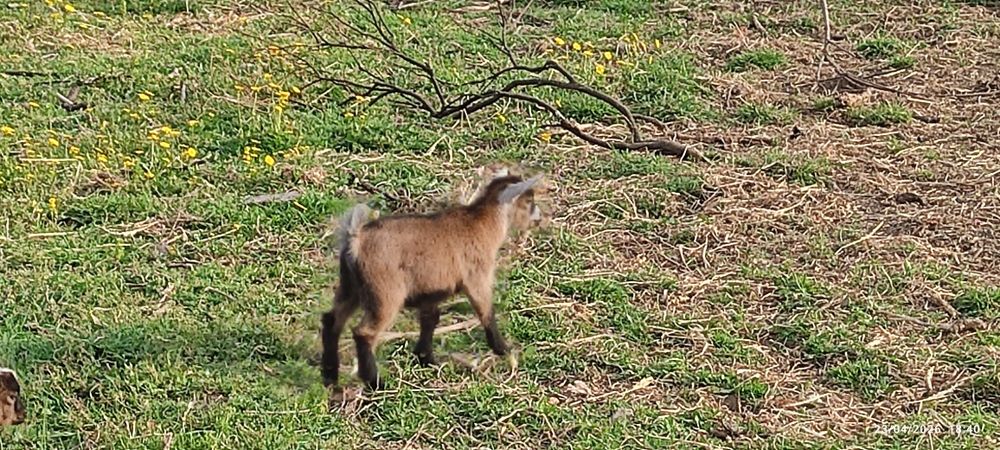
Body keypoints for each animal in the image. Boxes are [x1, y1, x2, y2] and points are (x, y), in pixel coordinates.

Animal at [320, 172, 543, 390]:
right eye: (528, 200)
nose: (539, 218)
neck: (483, 224)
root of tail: (356, 239)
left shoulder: (429, 290)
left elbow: (430, 319)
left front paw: (426, 358)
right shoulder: (477, 279)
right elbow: (486, 313)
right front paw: (504, 350)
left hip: (350, 286)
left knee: (331, 320)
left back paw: (330, 376)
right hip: (384, 293)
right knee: (364, 333)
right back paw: (376, 383)